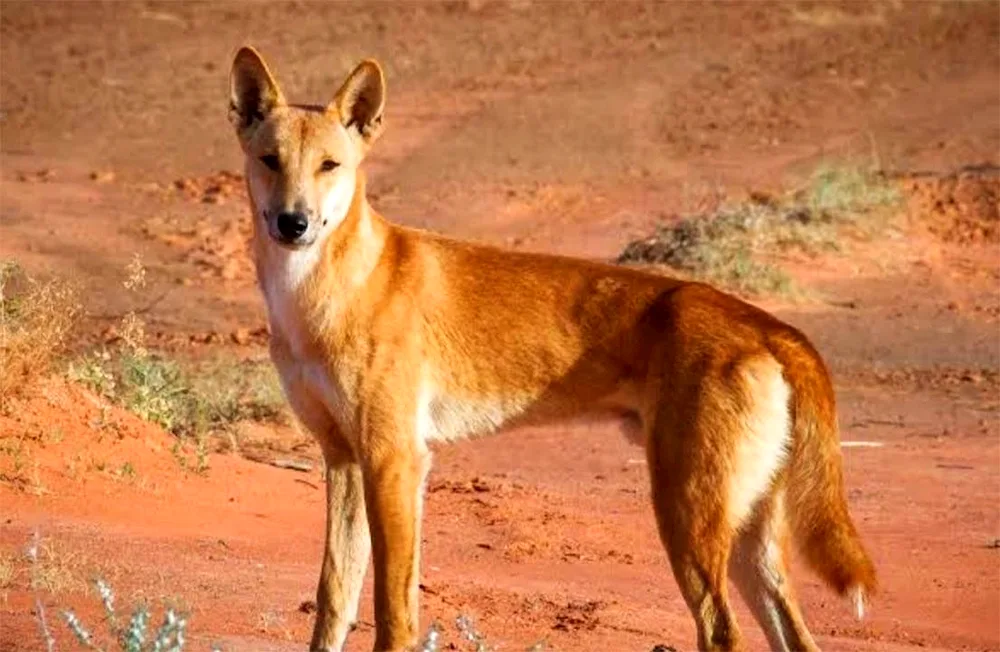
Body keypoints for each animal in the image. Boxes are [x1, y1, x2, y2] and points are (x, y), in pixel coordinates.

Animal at [227, 47, 876, 652]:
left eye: (329, 165)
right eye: (270, 161)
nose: (293, 222)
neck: (325, 293)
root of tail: (768, 325)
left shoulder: (395, 459)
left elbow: (393, 613)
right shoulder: (341, 457)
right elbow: (334, 599)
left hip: (686, 511)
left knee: (721, 631)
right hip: (744, 533)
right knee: (795, 636)